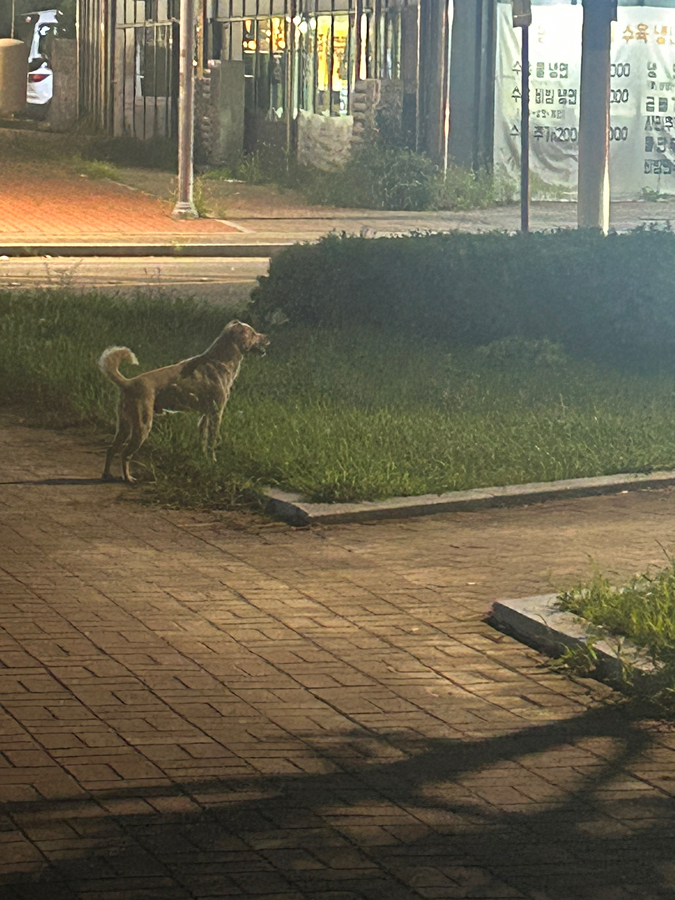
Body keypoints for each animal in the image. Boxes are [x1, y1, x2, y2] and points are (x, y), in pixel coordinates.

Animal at [99, 320, 270, 482]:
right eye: (253, 333)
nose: (268, 337)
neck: (219, 359)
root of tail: (127, 383)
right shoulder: (216, 412)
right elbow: (212, 441)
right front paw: (213, 461)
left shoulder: (204, 415)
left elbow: (203, 440)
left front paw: (203, 459)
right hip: (142, 426)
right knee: (125, 454)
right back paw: (128, 477)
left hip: (124, 426)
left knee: (111, 449)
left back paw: (106, 475)